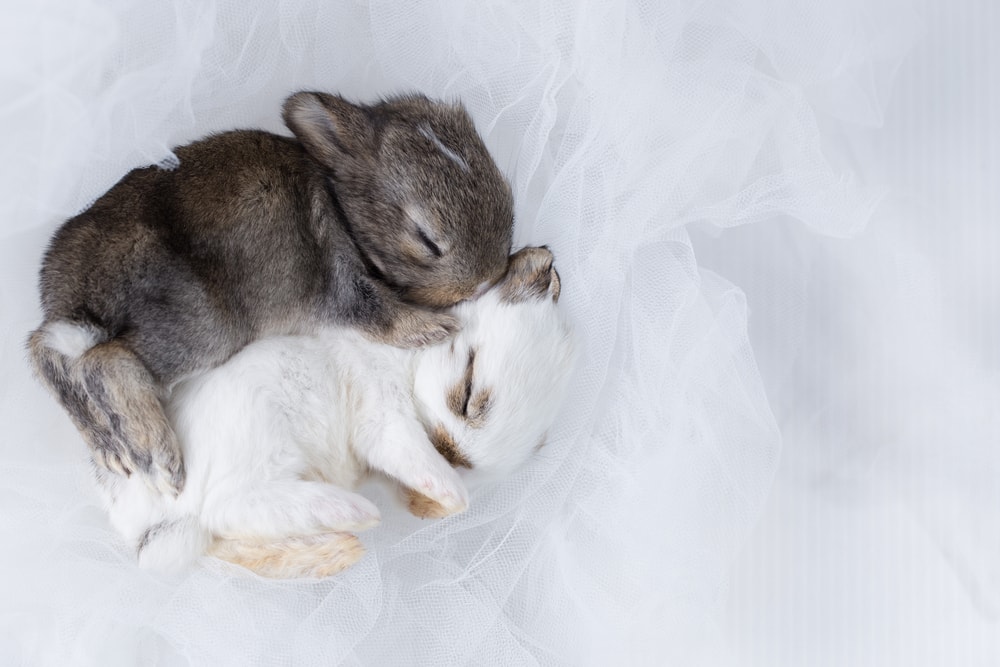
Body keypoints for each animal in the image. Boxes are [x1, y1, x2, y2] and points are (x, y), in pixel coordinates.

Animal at [27, 92, 514, 498]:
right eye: (426, 239)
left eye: (509, 199)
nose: (487, 279)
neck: (340, 205)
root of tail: (73, 299)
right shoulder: (342, 283)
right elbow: (381, 313)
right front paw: (438, 327)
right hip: (201, 325)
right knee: (102, 361)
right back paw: (163, 462)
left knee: (45, 353)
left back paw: (112, 451)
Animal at [95, 247, 574, 579]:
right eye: (468, 392)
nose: (450, 452)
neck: (411, 364)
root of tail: (146, 519)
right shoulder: (384, 418)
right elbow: (424, 465)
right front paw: (449, 492)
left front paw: (428, 506)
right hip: (255, 441)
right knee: (230, 506)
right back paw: (355, 512)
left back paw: (340, 545)